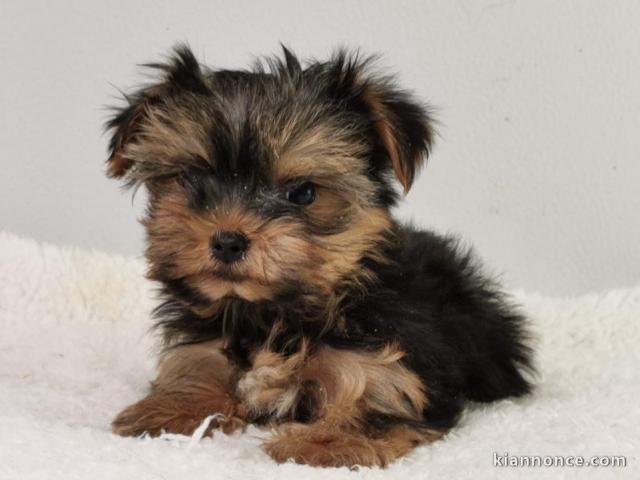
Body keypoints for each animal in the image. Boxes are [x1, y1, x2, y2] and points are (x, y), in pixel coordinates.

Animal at [106, 44, 536, 464]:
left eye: (302, 193)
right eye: (191, 179)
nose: (227, 240)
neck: (270, 314)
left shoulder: (393, 360)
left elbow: (379, 391)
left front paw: (326, 441)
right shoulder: (206, 341)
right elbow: (198, 364)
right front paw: (173, 408)